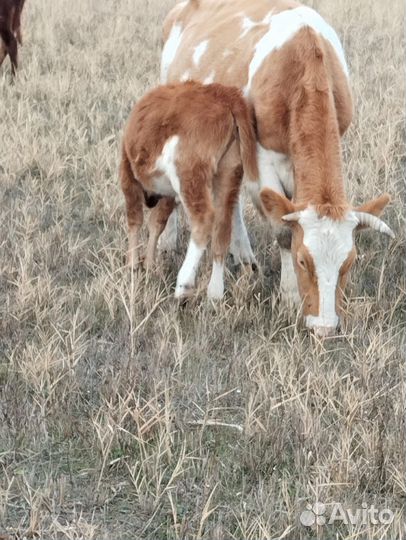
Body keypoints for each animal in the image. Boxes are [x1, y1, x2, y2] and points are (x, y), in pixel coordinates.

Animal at [119, 80, 256, 300]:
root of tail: (225, 96)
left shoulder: (127, 173)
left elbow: (135, 220)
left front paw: (132, 266)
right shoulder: (169, 194)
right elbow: (157, 224)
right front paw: (149, 265)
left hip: (189, 175)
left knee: (204, 220)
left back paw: (184, 285)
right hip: (229, 172)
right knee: (222, 227)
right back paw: (215, 293)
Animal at [160, 0, 394, 336]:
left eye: (349, 262)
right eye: (302, 260)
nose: (324, 326)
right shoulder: (262, 157)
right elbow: (283, 229)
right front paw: (289, 297)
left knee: (231, 200)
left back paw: (244, 257)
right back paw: (168, 243)